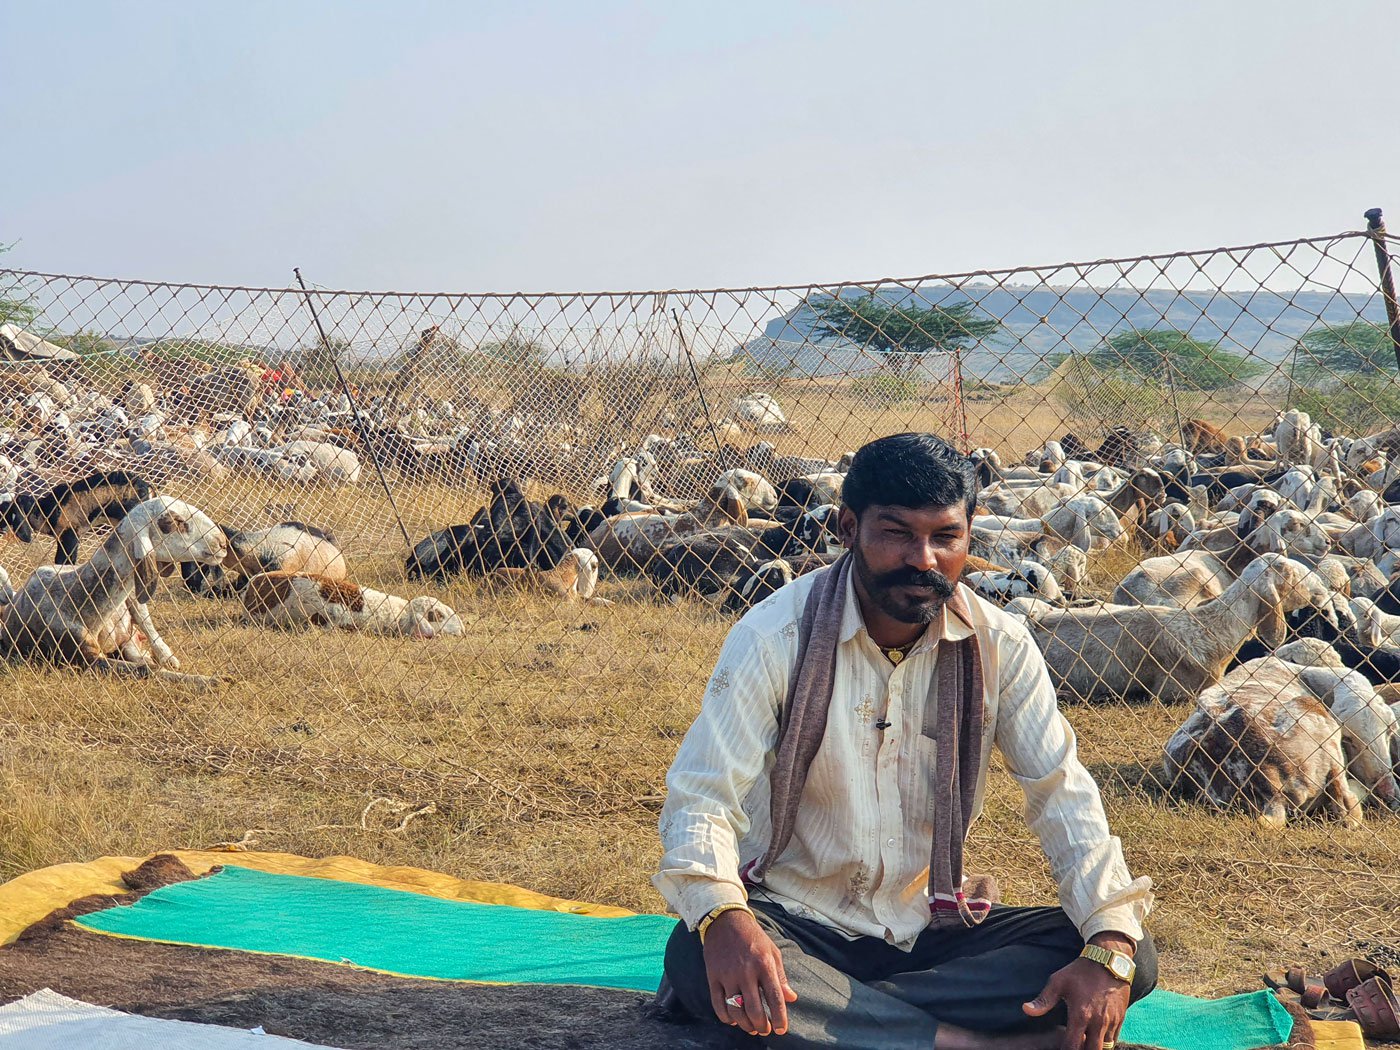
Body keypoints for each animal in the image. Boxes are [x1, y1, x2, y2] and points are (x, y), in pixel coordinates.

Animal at [0, 498, 226, 686]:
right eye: (175, 521)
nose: (222, 542)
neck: (79, 598)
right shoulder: (85, 657)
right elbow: (146, 669)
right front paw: (213, 681)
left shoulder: (125, 638)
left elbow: (144, 659)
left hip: (134, 600)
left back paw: (167, 656)